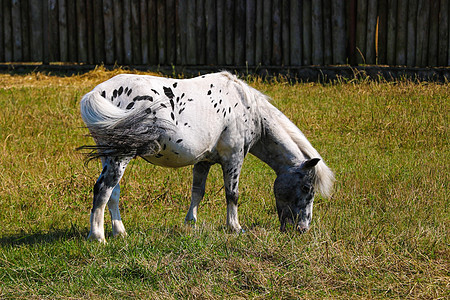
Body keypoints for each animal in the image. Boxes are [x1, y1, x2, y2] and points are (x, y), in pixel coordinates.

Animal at [79, 71, 334, 243]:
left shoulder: (203, 161)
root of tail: (97, 93)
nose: (302, 229)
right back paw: (97, 236)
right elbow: (232, 195)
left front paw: (190, 224)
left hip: (109, 156)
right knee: (103, 190)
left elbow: (197, 192)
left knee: (113, 193)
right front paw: (234, 227)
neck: (247, 107)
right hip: (120, 157)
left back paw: (119, 232)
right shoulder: (234, 158)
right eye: (307, 188)